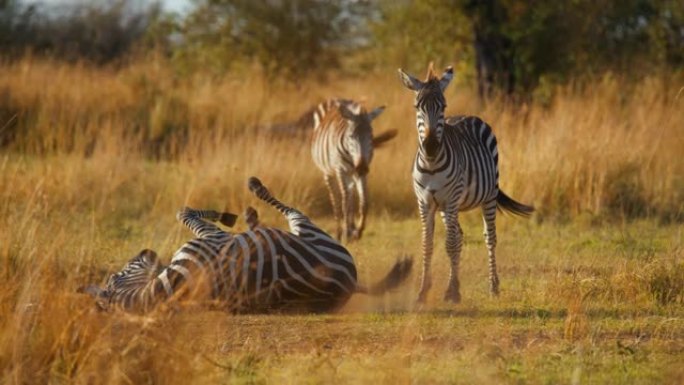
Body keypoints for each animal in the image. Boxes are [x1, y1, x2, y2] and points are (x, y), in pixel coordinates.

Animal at [78, 177, 414, 312]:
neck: (167, 290)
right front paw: (227, 215)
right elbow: (185, 212)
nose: (145, 252)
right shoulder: (214, 239)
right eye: (119, 274)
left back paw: (254, 216)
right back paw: (255, 195)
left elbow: (183, 211)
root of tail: (349, 284)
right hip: (310, 229)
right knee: (288, 209)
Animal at [308, 98, 396, 240]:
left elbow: (364, 200)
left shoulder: (362, 172)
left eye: (371, 137)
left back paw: (351, 227)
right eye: (351, 136)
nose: (361, 167)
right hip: (328, 172)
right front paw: (344, 233)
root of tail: (335, 98)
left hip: (351, 175)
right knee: (336, 199)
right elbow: (344, 202)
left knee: (351, 195)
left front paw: (359, 230)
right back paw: (340, 230)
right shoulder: (340, 170)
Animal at [396, 63, 536, 304]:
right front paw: (424, 291)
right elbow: (427, 244)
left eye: (443, 106)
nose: (431, 146)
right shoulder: (425, 203)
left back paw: (493, 286)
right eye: (417, 107)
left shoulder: (451, 200)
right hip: (446, 207)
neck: (431, 163)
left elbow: (450, 244)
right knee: (459, 236)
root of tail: (468, 116)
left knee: (489, 238)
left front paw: (450, 292)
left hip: (487, 197)